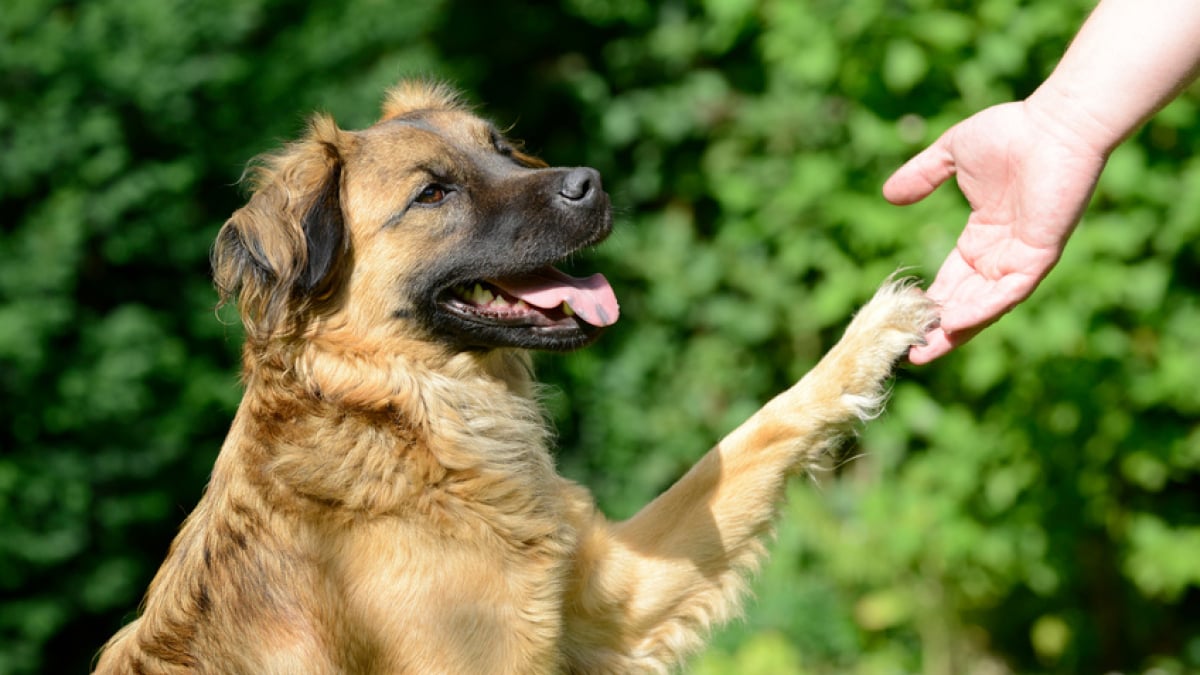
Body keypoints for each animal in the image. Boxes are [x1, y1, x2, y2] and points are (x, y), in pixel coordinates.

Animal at [93, 81, 936, 667]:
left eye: (499, 146)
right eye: (433, 192)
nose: (591, 181)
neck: (405, 417)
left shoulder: (608, 598)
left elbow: (752, 435)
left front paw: (872, 335)